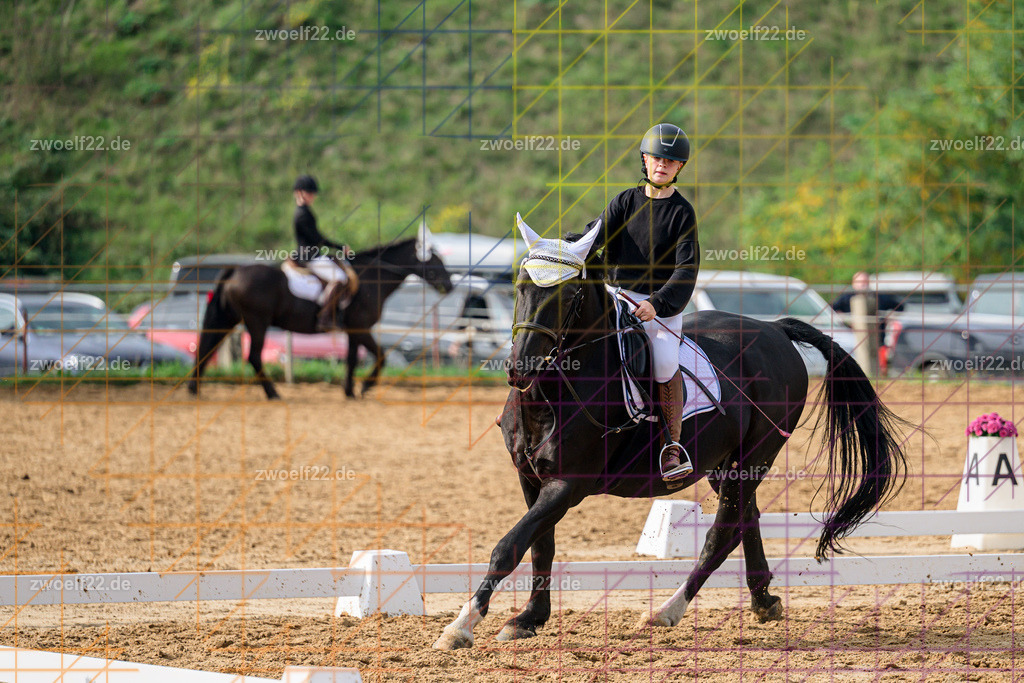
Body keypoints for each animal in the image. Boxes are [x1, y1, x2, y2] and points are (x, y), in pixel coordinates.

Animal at [186, 236, 452, 400]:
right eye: (435, 260)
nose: (449, 286)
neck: (372, 278)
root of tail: (235, 272)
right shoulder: (361, 328)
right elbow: (381, 356)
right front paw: (366, 386)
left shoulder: (353, 331)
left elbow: (351, 360)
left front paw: (349, 392)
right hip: (256, 322)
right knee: (252, 357)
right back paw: (273, 393)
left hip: (229, 319)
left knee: (206, 348)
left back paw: (193, 389)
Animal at [433, 216, 908, 649]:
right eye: (520, 286)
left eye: (569, 294)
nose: (521, 369)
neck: (551, 396)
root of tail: (774, 329)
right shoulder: (530, 478)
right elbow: (538, 546)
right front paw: (529, 619)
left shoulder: (568, 484)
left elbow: (509, 546)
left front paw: (461, 626)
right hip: (723, 466)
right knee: (745, 520)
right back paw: (763, 600)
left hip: (755, 457)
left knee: (722, 532)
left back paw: (668, 610)